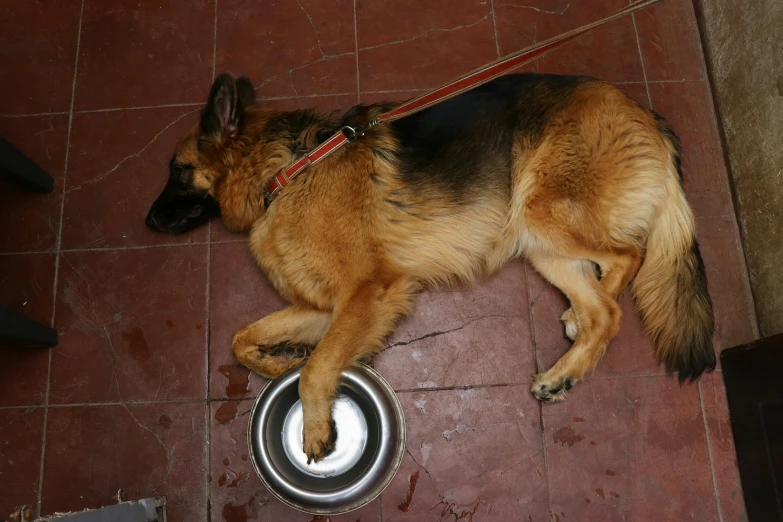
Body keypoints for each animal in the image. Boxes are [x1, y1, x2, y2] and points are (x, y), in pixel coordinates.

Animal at [145, 72, 716, 460]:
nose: (148, 222)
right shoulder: (323, 308)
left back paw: (571, 356)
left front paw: (315, 426)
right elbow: (242, 339)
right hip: (536, 241)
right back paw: (570, 352)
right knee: (602, 302)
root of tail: (645, 114)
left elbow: (318, 370)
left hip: (543, 214)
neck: (285, 168)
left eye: (178, 170)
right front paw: (277, 362)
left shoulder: (368, 293)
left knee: (628, 264)